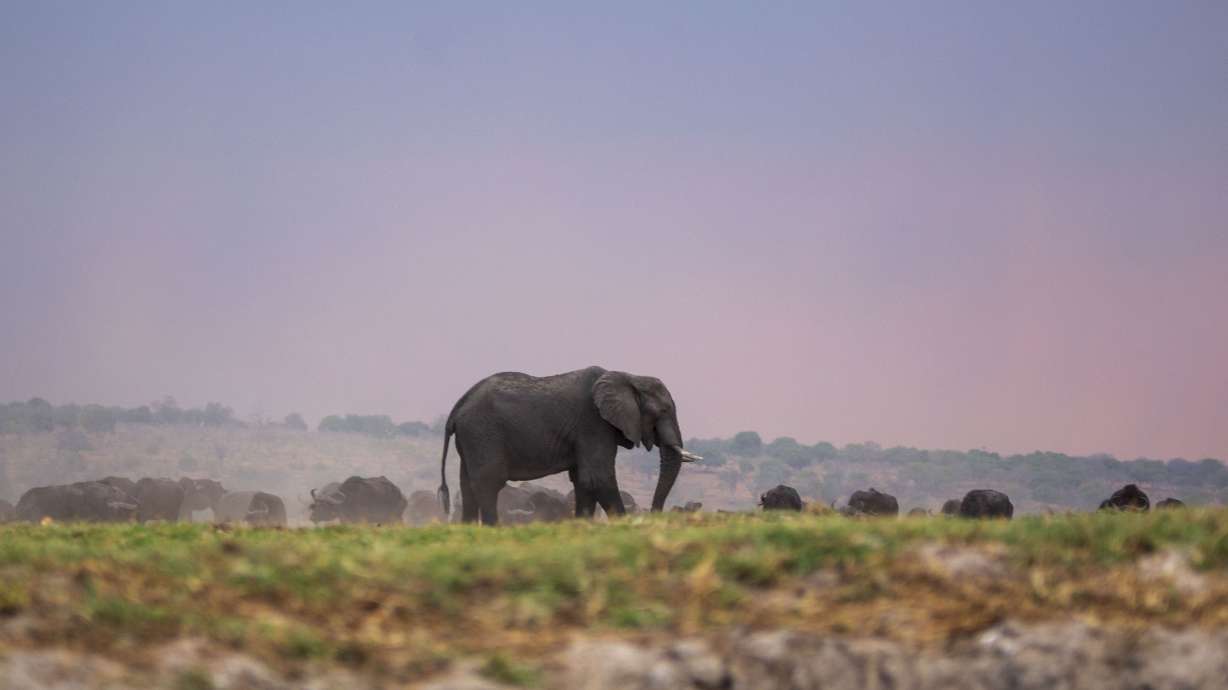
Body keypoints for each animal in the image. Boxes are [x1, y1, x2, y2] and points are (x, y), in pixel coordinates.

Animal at [437, 366, 700, 525]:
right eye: (663, 411)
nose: (656, 515)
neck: (628, 376)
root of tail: (457, 408)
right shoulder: (593, 423)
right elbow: (598, 477)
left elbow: (583, 481)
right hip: (483, 432)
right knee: (489, 483)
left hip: (471, 438)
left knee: (468, 485)